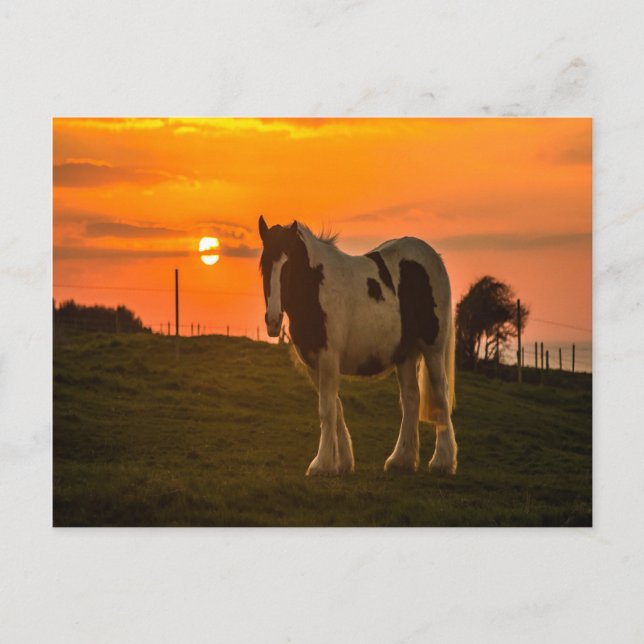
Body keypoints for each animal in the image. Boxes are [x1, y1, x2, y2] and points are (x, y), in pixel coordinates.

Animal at [258, 215, 457, 477]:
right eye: (263, 265)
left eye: (288, 265)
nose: (272, 320)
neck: (316, 288)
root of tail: (434, 258)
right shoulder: (314, 364)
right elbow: (336, 408)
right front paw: (341, 462)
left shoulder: (328, 359)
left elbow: (327, 410)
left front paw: (321, 464)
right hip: (405, 355)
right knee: (411, 398)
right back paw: (401, 460)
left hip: (433, 350)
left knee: (440, 395)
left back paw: (442, 461)